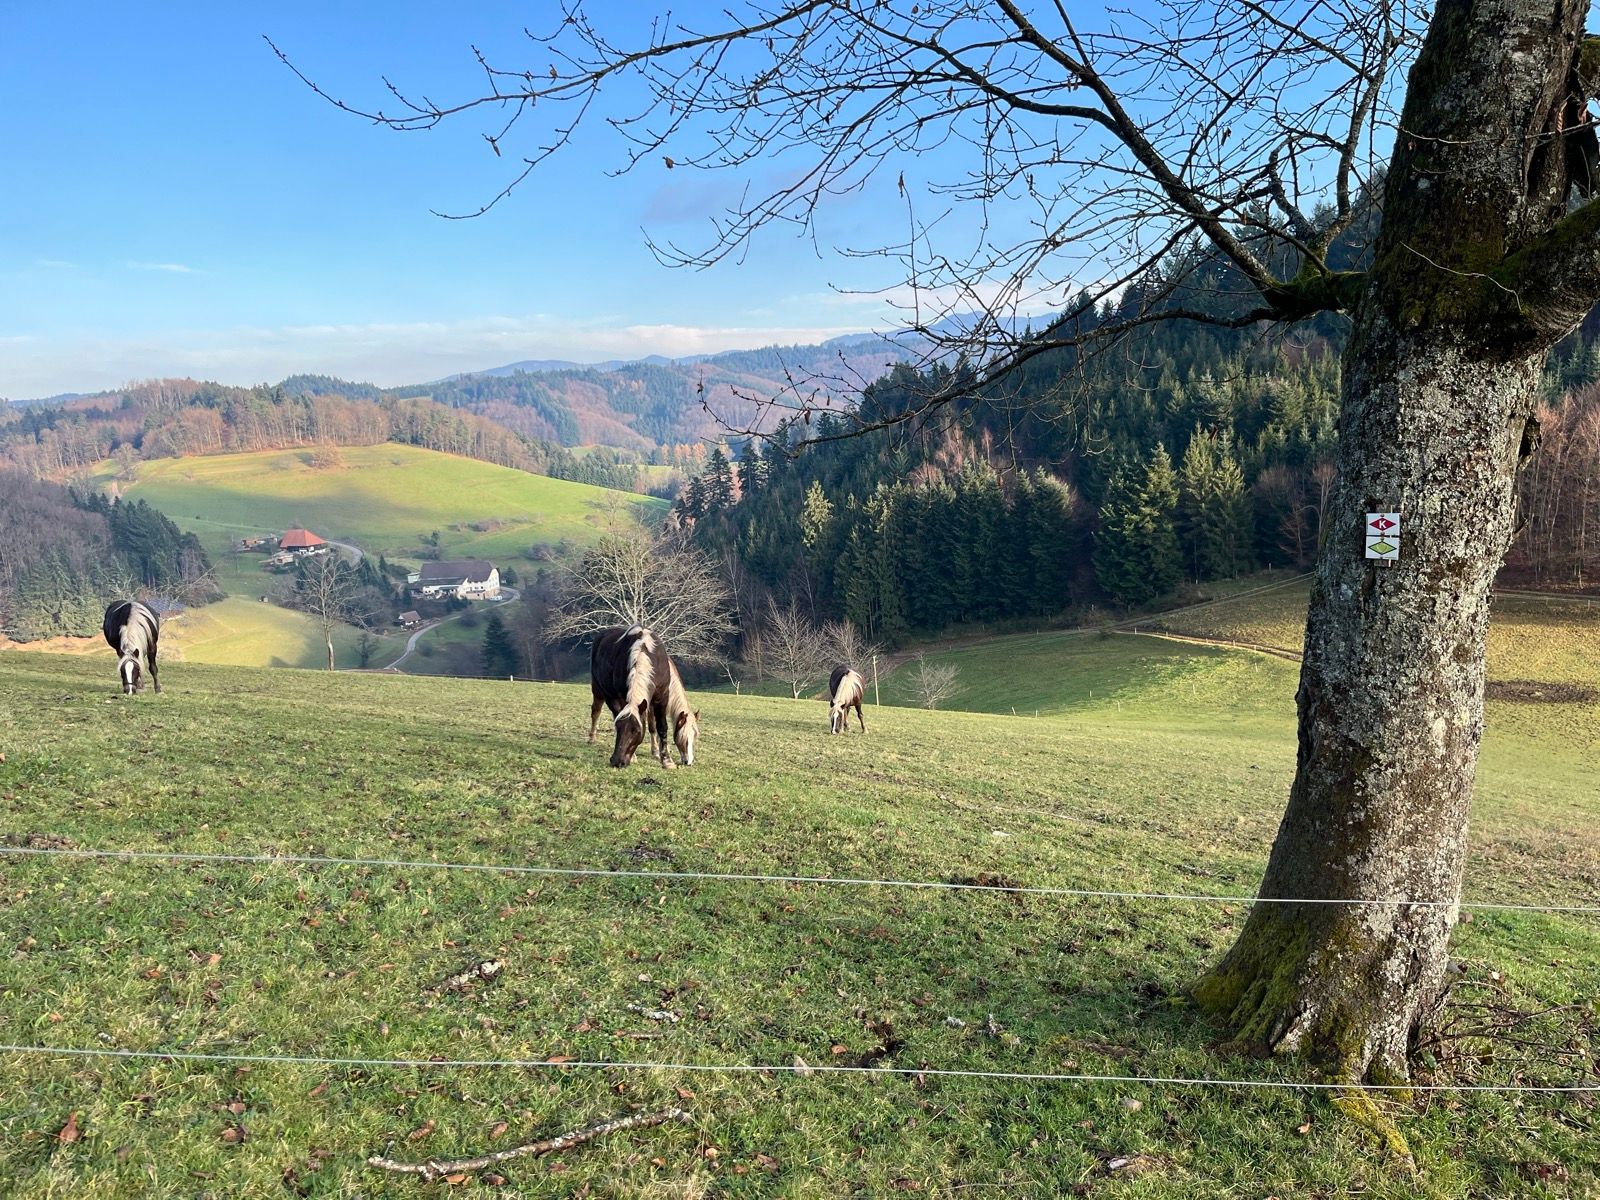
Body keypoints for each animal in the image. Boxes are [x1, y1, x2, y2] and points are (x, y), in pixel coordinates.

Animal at [589, 625, 699, 767]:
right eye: (683, 737)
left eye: (694, 736)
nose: (617, 761)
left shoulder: (659, 698)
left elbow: (659, 727)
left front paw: (665, 758)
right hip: (600, 690)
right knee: (596, 711)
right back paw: (591, 738)